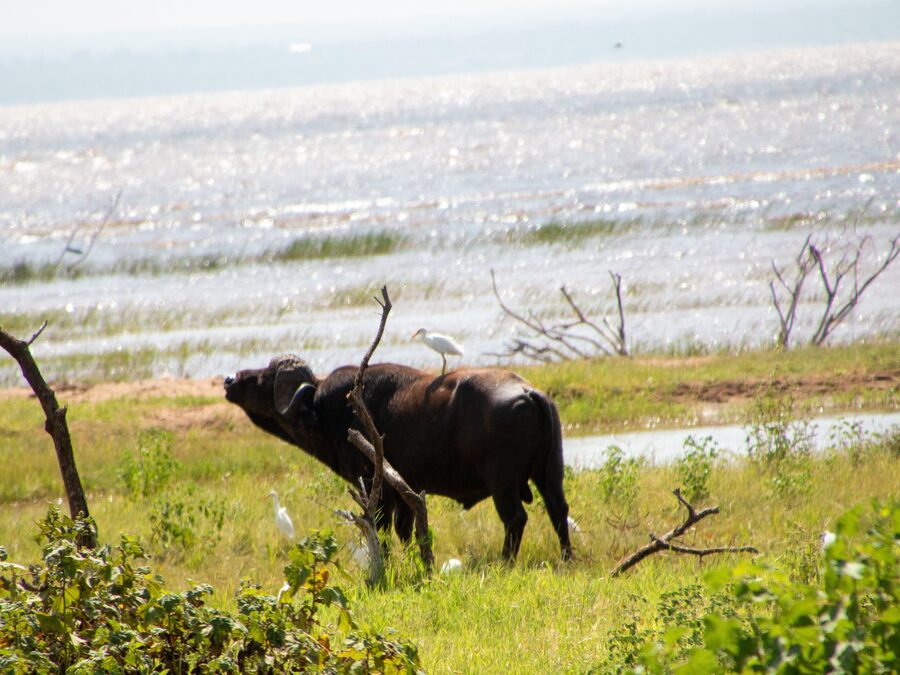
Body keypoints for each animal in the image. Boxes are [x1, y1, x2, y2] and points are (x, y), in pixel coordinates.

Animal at [224, 355, 573, 561]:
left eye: (265, 378)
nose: (229, 380)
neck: (325, 409)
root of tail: (530, 393)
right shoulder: (405, 492)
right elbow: (406, 531)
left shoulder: (373, 487)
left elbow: (379, 528)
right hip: (549, 475)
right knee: (558, 511)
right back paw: (566, 556)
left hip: (503, 484)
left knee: (515, 518)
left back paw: (505, 561)